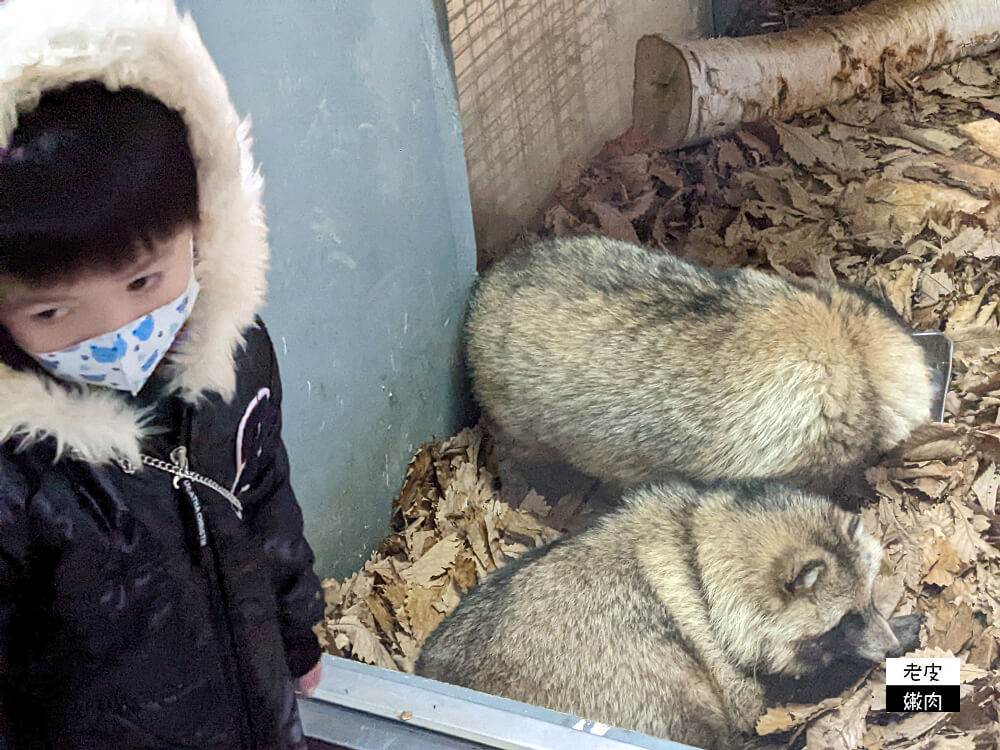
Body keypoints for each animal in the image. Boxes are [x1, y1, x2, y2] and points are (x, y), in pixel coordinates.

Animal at [416, 484, 920, 748]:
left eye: (869, 602)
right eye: (847, 621)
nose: (889, 646)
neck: (698, 552)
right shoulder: (717, 654)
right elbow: (763, 709)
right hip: (629, 679)